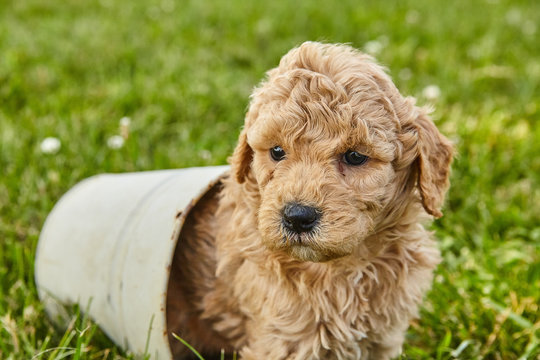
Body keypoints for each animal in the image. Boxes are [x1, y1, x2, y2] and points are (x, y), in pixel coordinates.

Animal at [167, 41, 454, 360]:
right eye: (277, 151)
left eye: (355, 156)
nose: (297, 217)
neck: (341, 269)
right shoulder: (285, 337)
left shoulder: (383, 334)